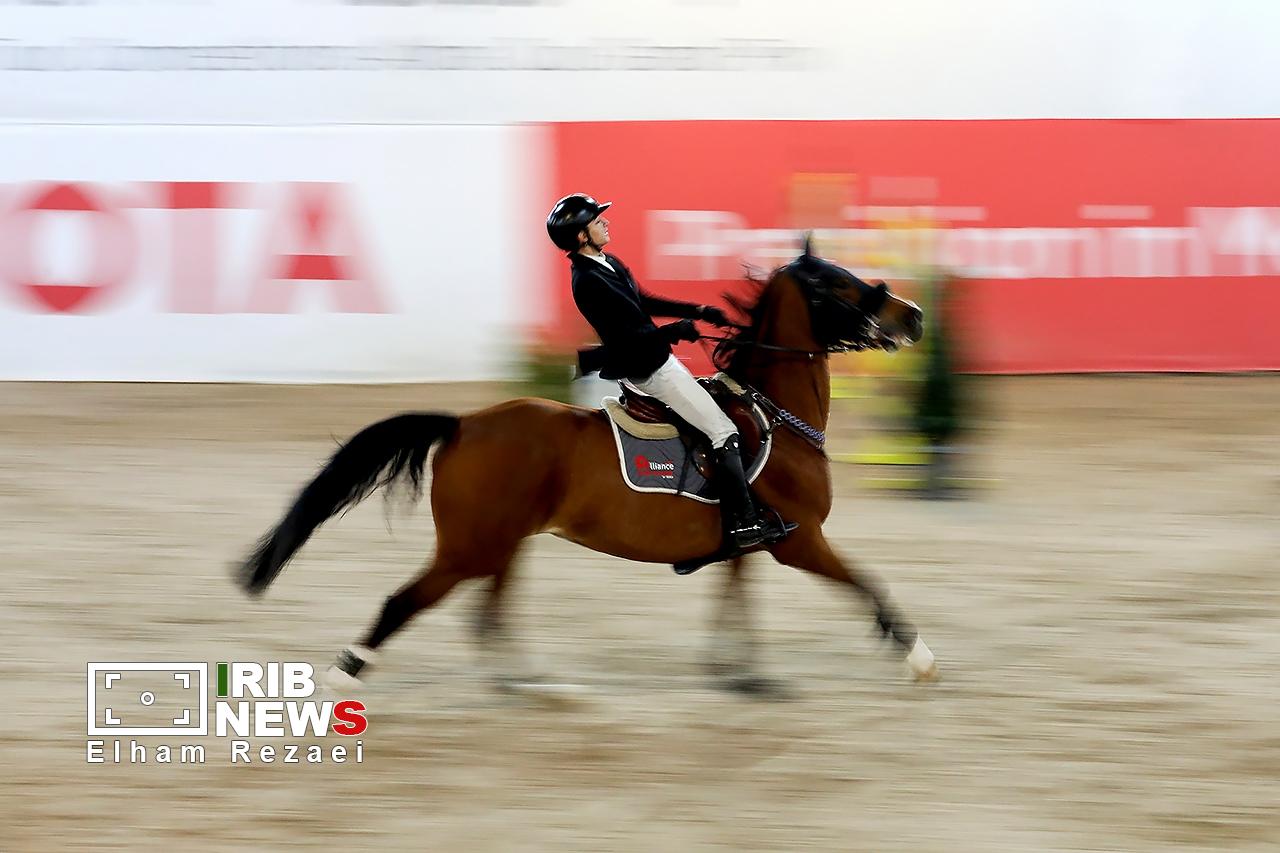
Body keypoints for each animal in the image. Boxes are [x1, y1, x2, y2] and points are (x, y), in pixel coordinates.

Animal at [235, 236, 939, 693]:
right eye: (840, 284)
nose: (915, 316)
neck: (777, 413)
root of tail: (463, 423)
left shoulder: (752, 542)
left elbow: (734, 601)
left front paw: (739, 672)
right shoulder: (802, 541)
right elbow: (867, 585)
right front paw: (920, 657)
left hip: (501, 540)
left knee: (486, 608)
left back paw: (517, 679)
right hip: (471, 545)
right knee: (407, 601)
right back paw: (347, 669)